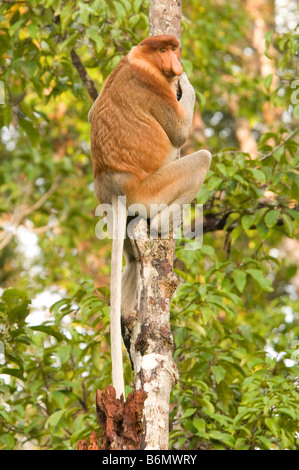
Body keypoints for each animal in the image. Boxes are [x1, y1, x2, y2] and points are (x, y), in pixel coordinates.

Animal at [89, 35, 213, 398]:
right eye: (163, 50)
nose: (175, 63)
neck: (140, 59)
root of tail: (115, 185)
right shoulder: (154, 83)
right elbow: (179, 132)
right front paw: (187, 84)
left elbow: (90, 112)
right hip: (149, 190)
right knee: (201, 157)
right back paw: (165, 224)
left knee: (132, 258)